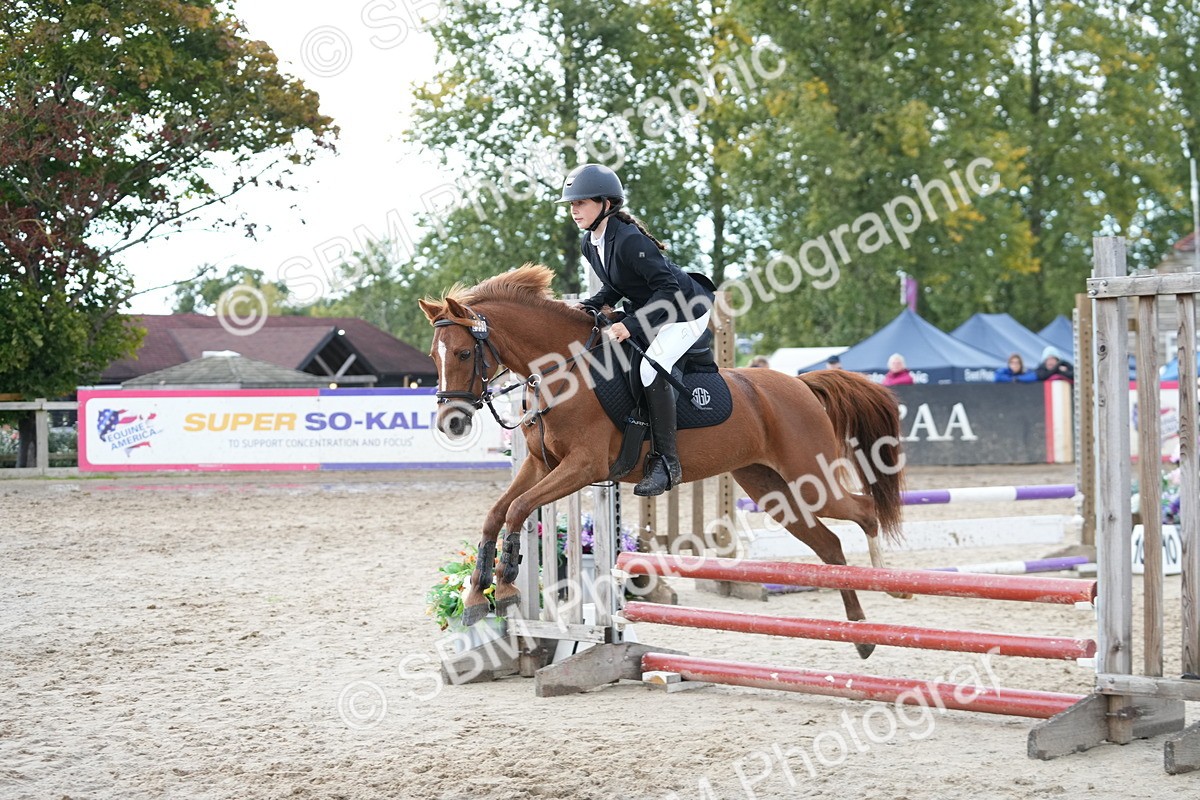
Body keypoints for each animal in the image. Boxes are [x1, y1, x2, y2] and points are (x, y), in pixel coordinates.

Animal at [419, 264, 907, 659]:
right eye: (433, 356)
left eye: (464, 353)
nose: (452, 422)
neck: (568, 371)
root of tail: (803, 384)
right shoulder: (542, 465)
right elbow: (496, 513)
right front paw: (478, 597)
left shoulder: (583, 467)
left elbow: (518, 509)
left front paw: (503, 587)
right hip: (772, 489)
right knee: (830, 545)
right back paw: (862, 635)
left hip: (809, 476)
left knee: (864, 512)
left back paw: (892, 588)